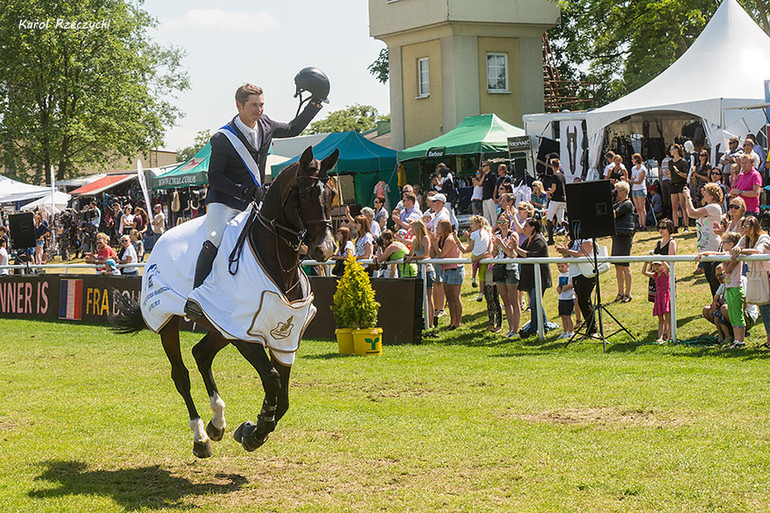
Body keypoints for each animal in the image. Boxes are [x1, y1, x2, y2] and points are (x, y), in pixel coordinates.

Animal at [111, 147, 336, 456]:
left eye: (333, 194)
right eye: (303, 193)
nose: (325, 250)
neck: (278, 265)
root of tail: (160, 239)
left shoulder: (283, 338)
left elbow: (283, 398)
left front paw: (252, 428)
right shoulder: (244, 334)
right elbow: (272, 380)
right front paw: (256, 432)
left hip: (219, 325)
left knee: (201, 354)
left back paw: (217, 423)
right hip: (170, 322)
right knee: (181, 375)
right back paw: (201, 437)